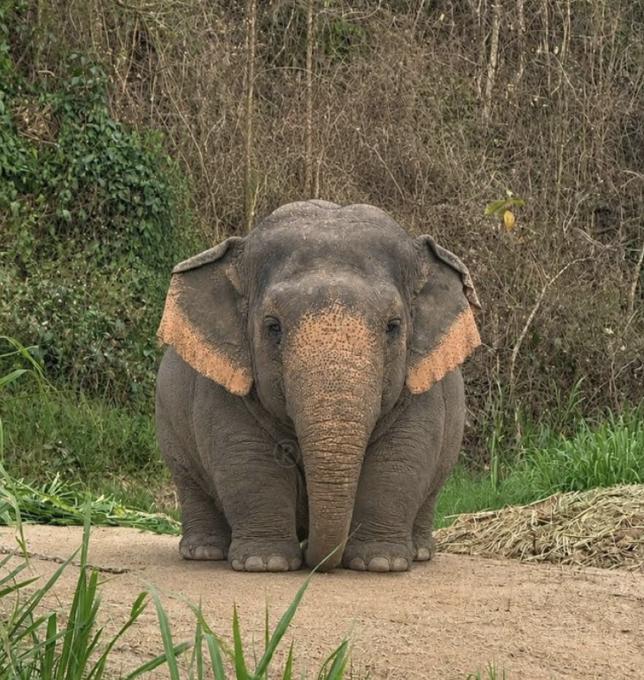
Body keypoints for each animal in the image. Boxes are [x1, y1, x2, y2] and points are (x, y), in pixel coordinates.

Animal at [155, 200, 480, 573]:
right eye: (273, 327)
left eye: (394, 326)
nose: (315, 556)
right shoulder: (224, 385)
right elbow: (247, 457)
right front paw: (264, 563)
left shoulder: (420, 385)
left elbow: (400, 456)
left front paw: (380, 563)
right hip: (169, 425)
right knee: (190, 482)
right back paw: (204, 552)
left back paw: (421, 553)